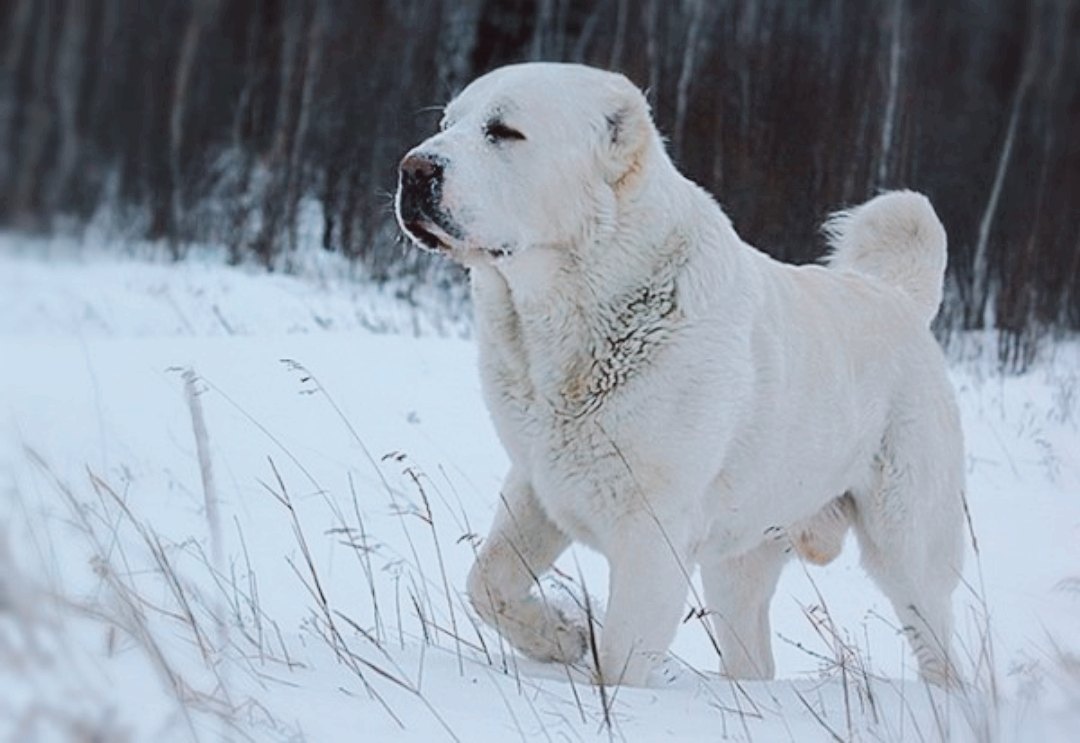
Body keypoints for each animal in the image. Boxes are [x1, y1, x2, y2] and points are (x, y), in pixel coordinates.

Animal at [395, 62, 963, 686]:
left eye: (503, 131)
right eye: (447, 124)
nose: (413, 169)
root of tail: (899, 297)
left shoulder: (652, 536)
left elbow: (620, 660)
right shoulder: (536, 488)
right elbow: (487, 582)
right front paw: (561, 637)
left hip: (907, 546)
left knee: (943, 646)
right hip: (739, 562)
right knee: (752, 657)